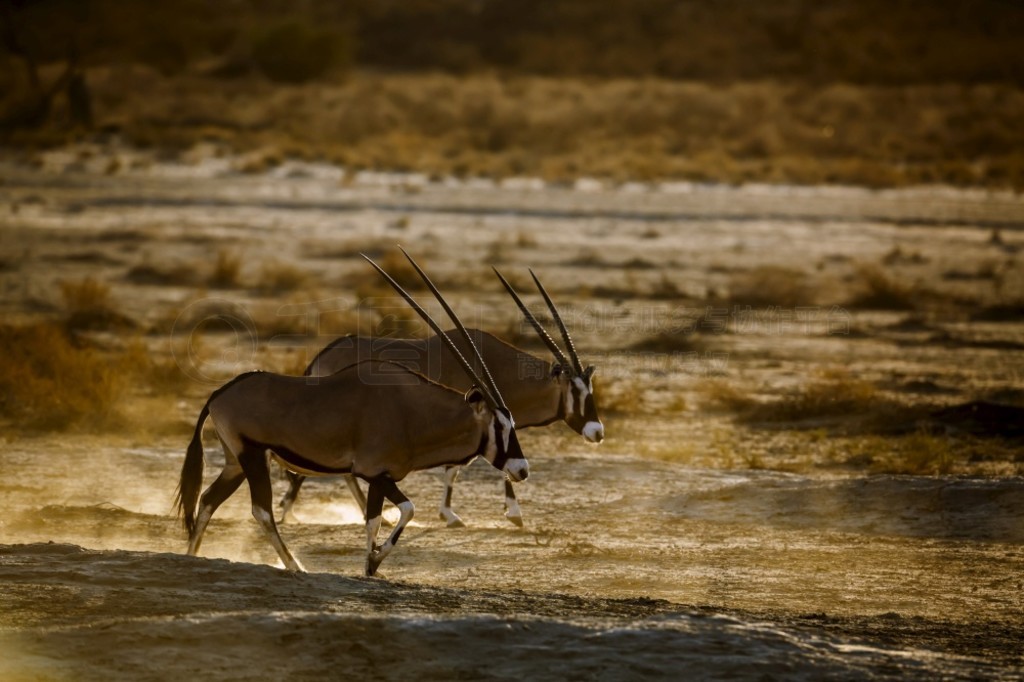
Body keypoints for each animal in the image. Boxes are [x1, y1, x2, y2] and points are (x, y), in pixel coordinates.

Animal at [175, 249, 528, 573]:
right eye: (500, 426)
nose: (522, 469)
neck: (412, 411)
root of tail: (219, 394)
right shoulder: (376, 473)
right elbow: (406, 509)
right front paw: (374, 560)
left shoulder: (378, 478)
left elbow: (374, 520)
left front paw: (371, 567)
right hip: (252, 456)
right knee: (261, 512)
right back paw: (294, 565)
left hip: (236, 462)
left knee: (208, 499)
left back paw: (191, 556)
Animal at [276, 254, 602, 524]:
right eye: (578, 393)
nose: (598, 432)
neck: (498, 366)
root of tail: (324, 354)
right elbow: (454, 469)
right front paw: (457, 514)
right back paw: (289, 509)